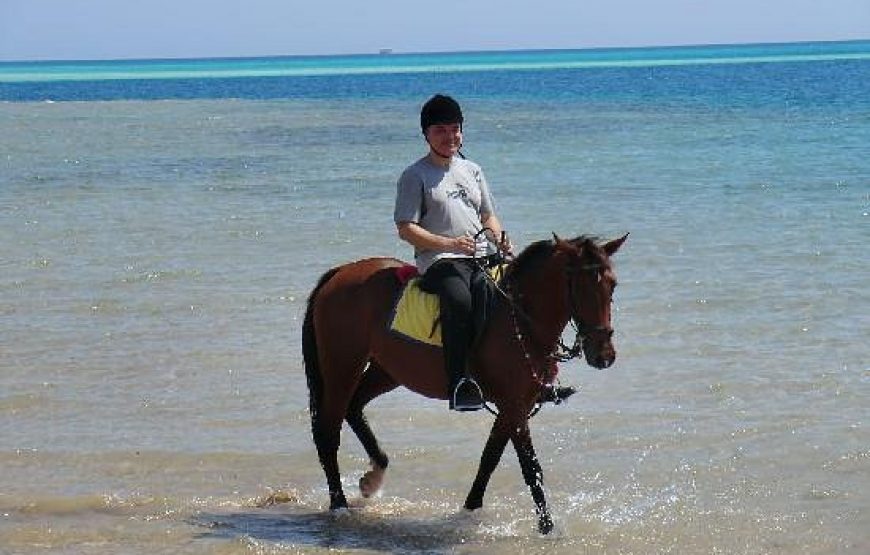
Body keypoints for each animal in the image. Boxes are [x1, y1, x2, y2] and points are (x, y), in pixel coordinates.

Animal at [302, 233, 627, 534]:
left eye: (612, 285)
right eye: (580, 287)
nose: (604, 355)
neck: (520, 321)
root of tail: (340, 273)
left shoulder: (515, 405)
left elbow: (490, 458)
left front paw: (470, 509)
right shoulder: (514, 405)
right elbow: (530, 466)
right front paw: (547, 528)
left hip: (387, 370)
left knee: (354, 407)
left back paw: (373, 477)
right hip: (342, 366)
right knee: (328, 431)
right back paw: (339, 504)